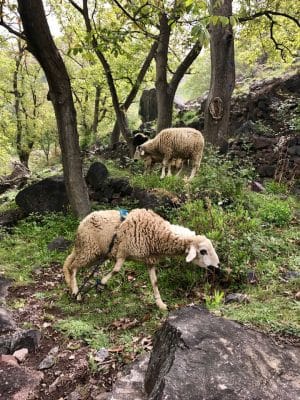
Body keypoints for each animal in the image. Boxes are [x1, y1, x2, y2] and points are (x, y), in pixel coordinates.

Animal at [63, 208, 219, 310]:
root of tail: (83, 221)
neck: (156, 232)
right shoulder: (123, 250)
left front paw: (161, 304)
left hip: (93, 252)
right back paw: (76, 292)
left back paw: (71, 286)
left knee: (69, 262)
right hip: (89, 249)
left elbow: (155, 282)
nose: (217, 267)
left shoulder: (150, 260)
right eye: (203, 251)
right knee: (73, 267)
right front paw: (101, 282)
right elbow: (116, 270)